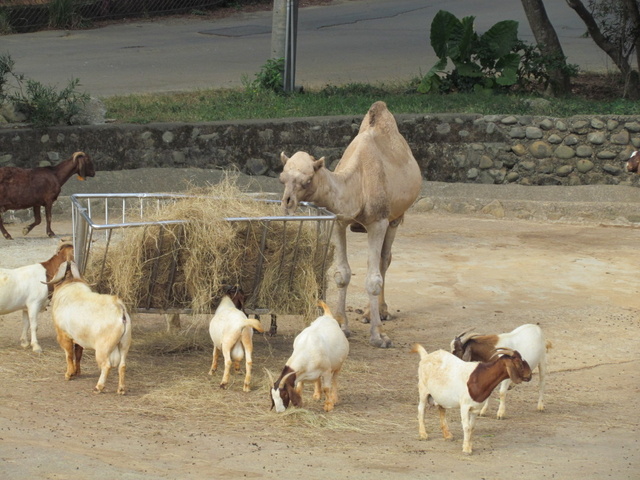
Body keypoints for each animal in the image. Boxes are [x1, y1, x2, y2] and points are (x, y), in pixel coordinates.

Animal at [46, 260, 132, 396]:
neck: (70, 284)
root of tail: (120, 309)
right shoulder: (78, 338)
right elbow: (78, 354)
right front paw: (77, 372)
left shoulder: (64, 335)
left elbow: (69, 354)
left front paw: (69, 374)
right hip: (124, 344)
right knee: (122, 365)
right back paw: (121, 389)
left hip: (103, 348)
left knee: (106, 365)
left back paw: (98, 387)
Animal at [278, 102, 420, 348]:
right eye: (282, 178)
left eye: (307, 180)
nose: (288, 202)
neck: (357, 185)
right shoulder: (339, 220)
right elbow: (341, 274)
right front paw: (341, 325)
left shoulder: (378, 221)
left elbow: (373, 279)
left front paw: (379, 335)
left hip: (395, 218)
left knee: (384, 260)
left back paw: (377, 312)